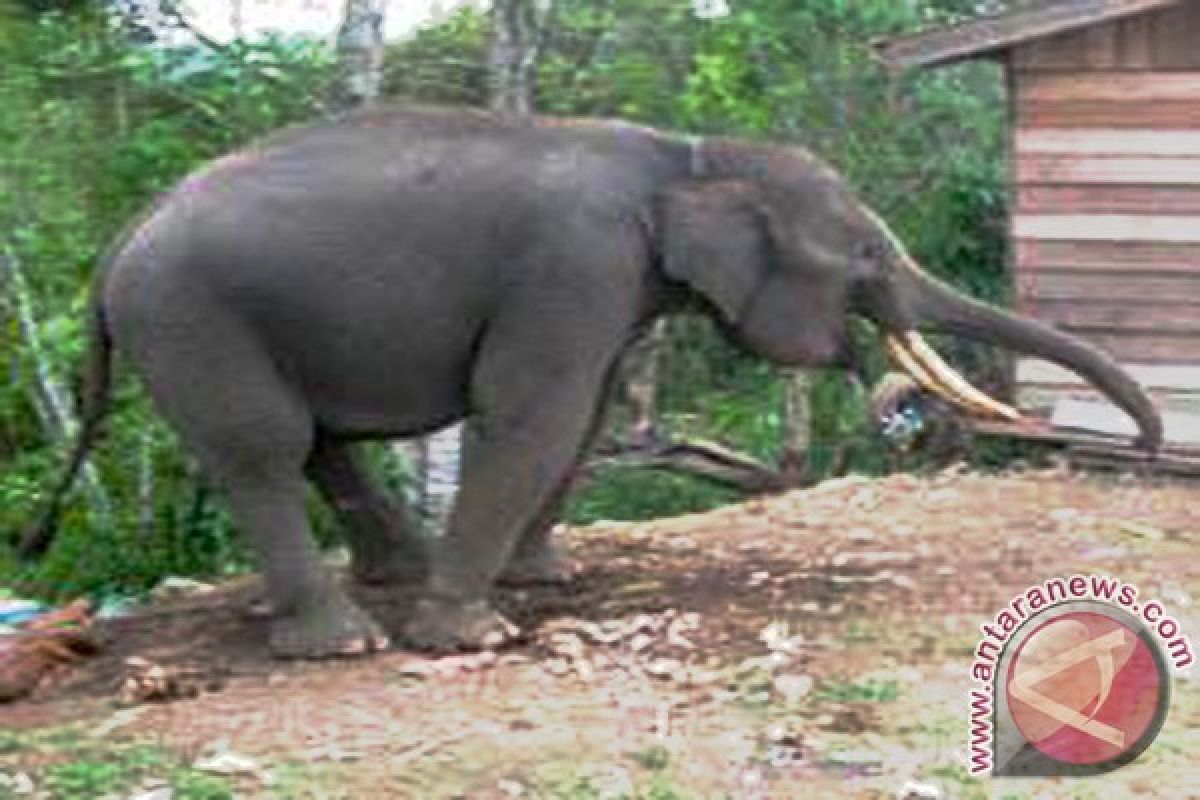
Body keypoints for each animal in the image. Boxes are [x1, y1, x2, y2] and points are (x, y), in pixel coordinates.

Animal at [21, 104, 1161, 657]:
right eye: (868, 260)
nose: (1148, 446)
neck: (685, 156)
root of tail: (118, 244)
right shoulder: (571, 264)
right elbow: (534, 413)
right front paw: (470, 635)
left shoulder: (611, 286)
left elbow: (586, 414)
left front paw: (543, 582)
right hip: (191, 319)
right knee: (262, 448)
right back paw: (343, 644)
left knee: (316, 441)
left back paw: (382, 582)